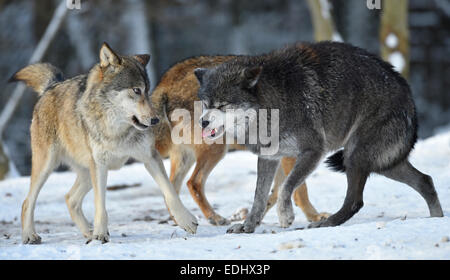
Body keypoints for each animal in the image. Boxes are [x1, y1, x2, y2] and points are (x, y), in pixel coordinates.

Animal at [11, 42, 198, 244]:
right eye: (136, 90)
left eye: (147, 91)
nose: (155, 120)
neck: (117, 130)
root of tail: (51, 86)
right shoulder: (100, 165)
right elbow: (100, 203)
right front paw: (101, 234)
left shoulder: (150, 157)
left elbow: (170, 192)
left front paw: (186, 220)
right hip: (48, 166)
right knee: (27, 202)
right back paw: (30, 235)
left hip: (86, 172)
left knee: (70, 199)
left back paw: (87, 231)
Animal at [195, 41, 444, 234]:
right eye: (206, 104)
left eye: (222, 105)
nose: (202, 122)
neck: (274, 102)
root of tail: (409, 96)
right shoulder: (269, 157)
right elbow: (258, 197)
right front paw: (247, 227)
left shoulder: (313, 151)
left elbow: (286, 187)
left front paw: (285, 216)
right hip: (383, 163)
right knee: (426, 181)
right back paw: (437, 218)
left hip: (354, 156)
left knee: (355, 201)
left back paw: (325, 223)